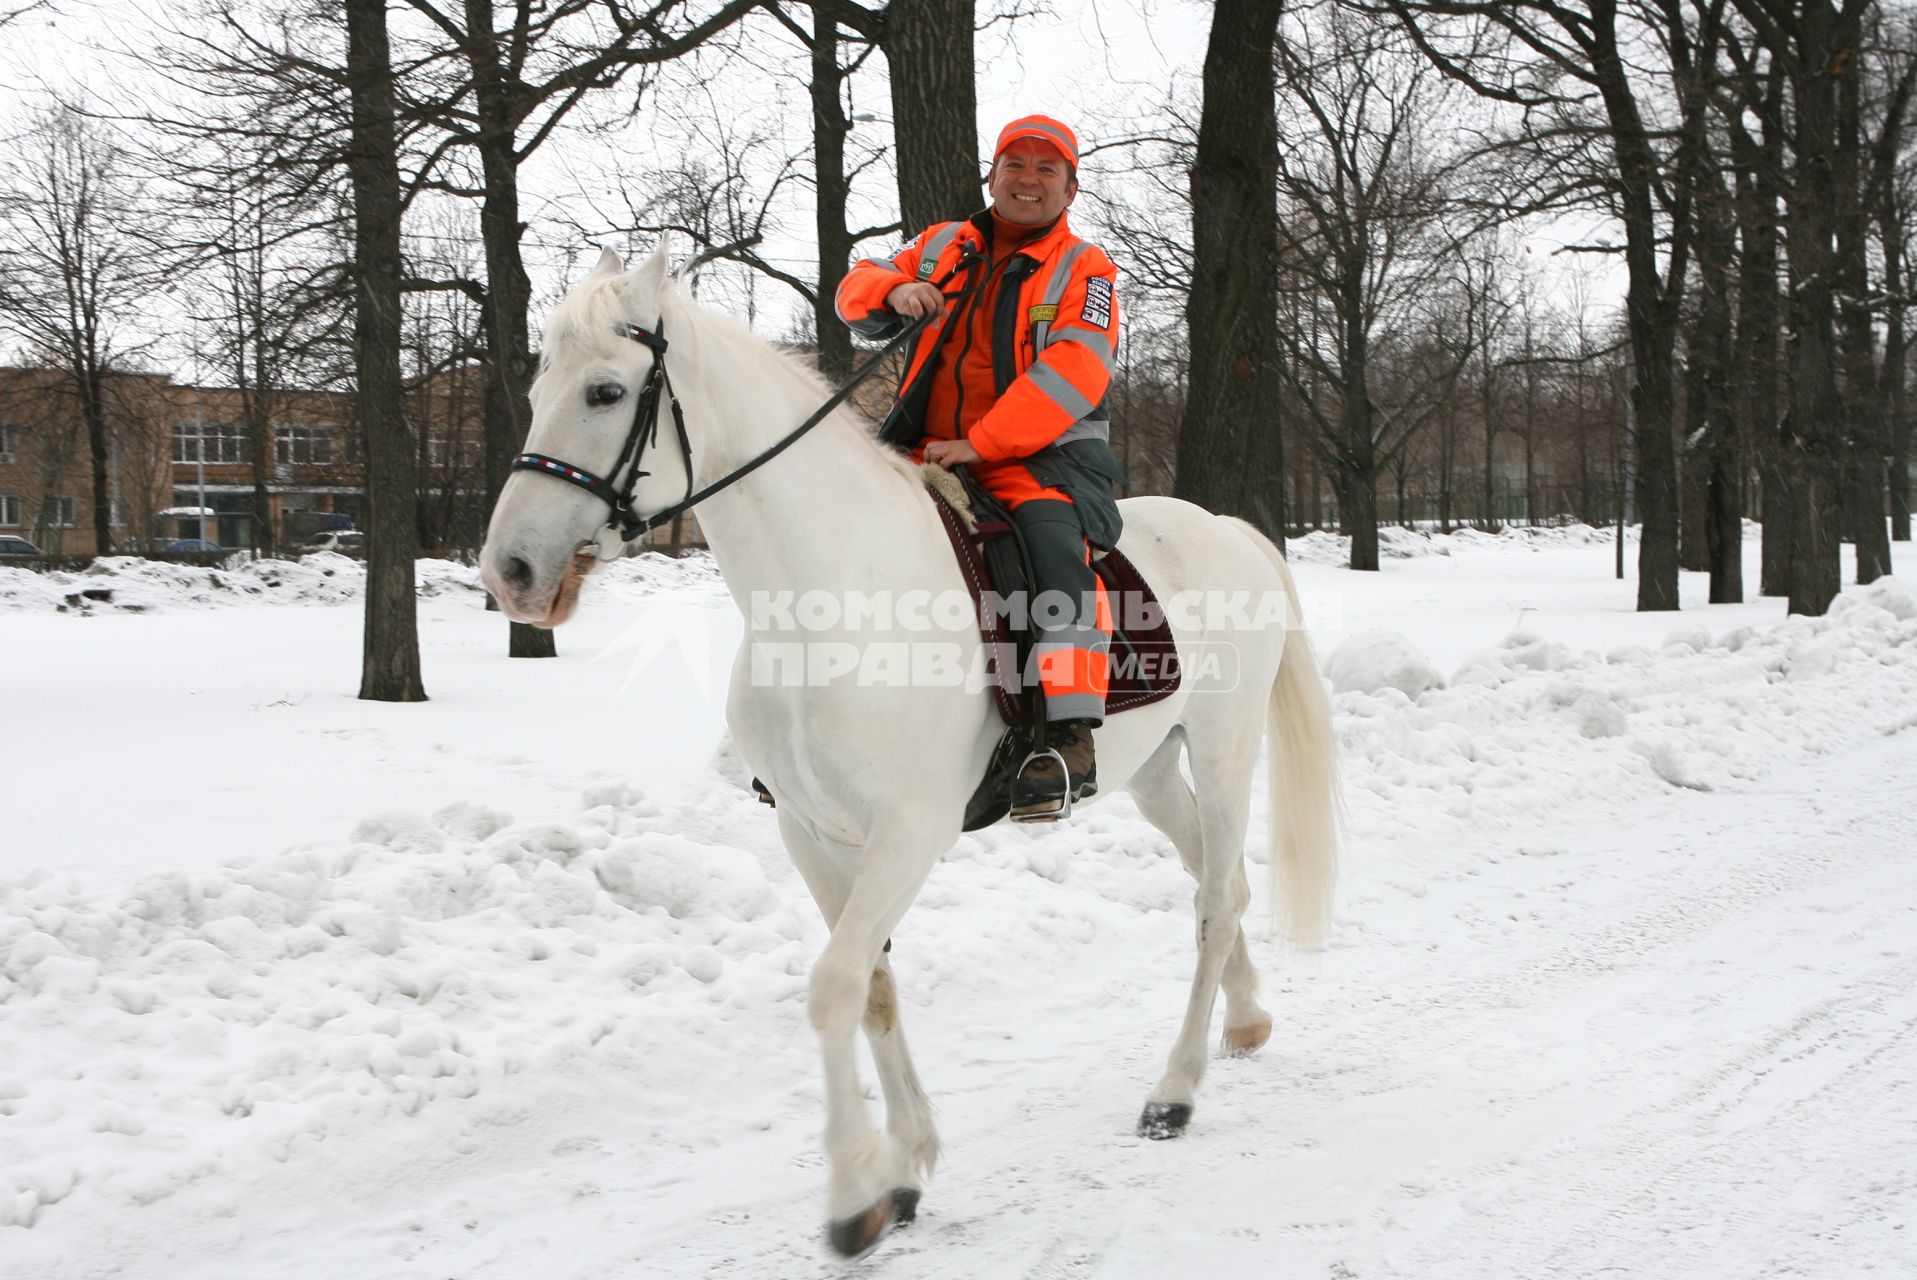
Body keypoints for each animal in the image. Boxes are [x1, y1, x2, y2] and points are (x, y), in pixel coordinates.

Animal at [483, 245, 1334, 1257]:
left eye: (606, 391)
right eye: (539, 388)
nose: (510, 572)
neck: (828, 600)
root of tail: (1227, 529)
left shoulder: (908, 835)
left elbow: (833, 986)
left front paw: (853, 1194)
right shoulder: (813, 835)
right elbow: (874, 988)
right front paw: (905, 1166)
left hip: (1222, 744)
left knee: (1212, 901)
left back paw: (1174, 1090)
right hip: (1153, 770)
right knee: (1221, 881)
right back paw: (1245, 1020)